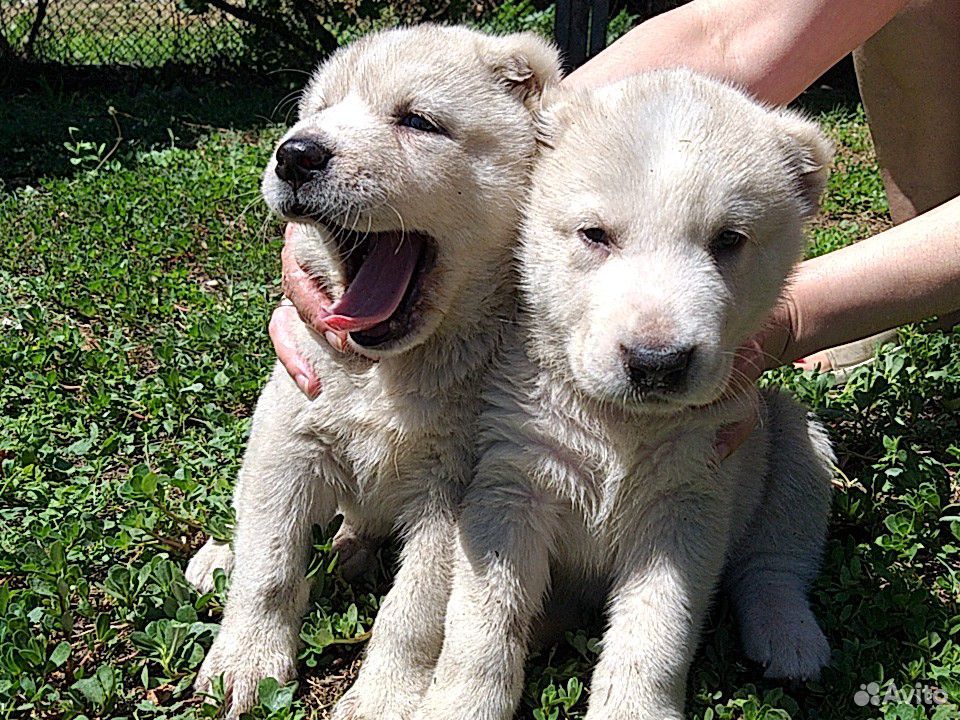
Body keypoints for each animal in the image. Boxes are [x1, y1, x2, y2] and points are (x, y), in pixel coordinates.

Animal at [185, 25, 560, 718]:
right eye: (314, 113)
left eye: (417, 120)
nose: (295, 155)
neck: (386, 372)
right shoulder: (287, 436)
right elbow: (268, 562)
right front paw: (246, 662)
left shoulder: (455, 491)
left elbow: (414, 611)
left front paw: (384, 696)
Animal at [412, 71, 836, 720]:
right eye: (595, 234)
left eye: (728, 239)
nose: (657, 362)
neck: (620, 423)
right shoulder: (516, 467)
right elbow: (484, 609)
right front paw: (462, 701)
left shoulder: (693, 486)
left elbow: (658, 623)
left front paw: (633, 705)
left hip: (783, 434)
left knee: (780, 547)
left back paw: (789, 636)